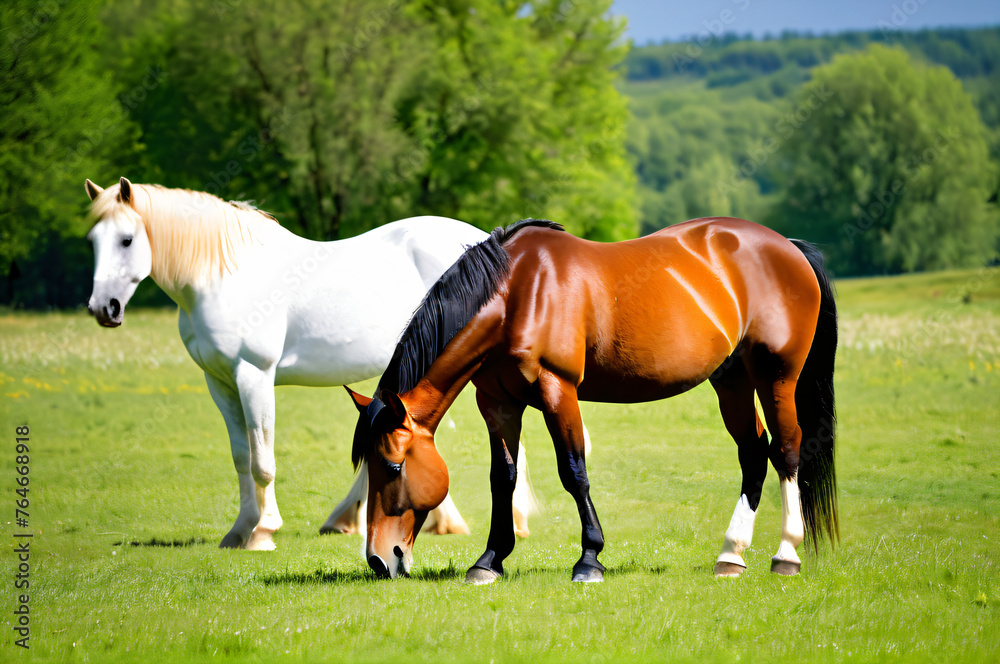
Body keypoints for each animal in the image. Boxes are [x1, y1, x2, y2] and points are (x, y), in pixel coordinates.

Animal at [85, 176, 540, 548]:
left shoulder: (253, 376)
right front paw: (239, 530)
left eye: (126, 240)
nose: (103, 308)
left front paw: (263, 532)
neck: (225, 277)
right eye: (93, 241)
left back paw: (510, 522)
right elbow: (240, 458)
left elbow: (262, 460)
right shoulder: (221, 383)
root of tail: (494, 244)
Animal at [344, 218, 836, 580]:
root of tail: (789, 246)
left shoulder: (557, 389)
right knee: (753, 454)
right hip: (731, 380)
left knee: (786, 449)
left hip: (776, 376)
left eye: (392, 466)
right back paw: (731, 555)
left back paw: (786, 554)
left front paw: (589, 559)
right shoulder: (497, 403)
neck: (519, 292)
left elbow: (574, 472)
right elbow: (503, 477)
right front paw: (489, 561)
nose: (379, 560)